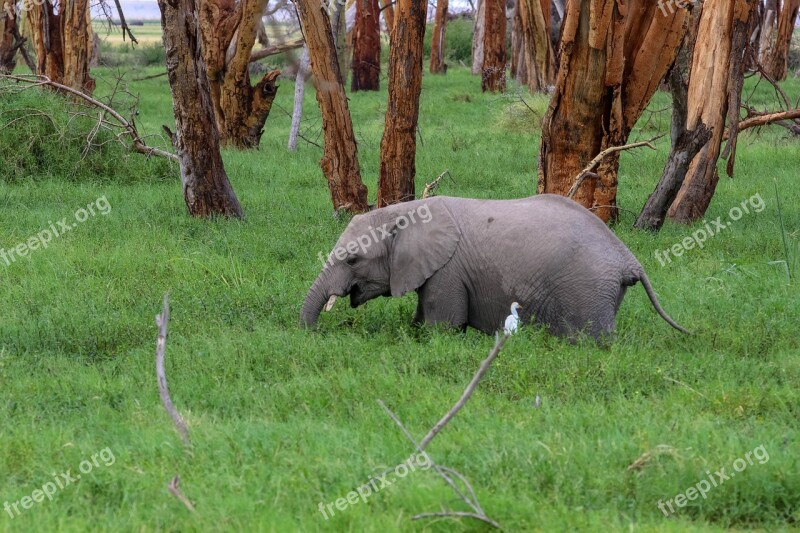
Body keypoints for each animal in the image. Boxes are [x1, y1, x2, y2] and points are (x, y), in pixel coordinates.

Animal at [300, 195, 688, 340]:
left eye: (352, 259)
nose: (312, 335)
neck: (405, 211)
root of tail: (627, 258)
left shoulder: (448, 271)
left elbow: (442, 328)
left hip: (588, 288)